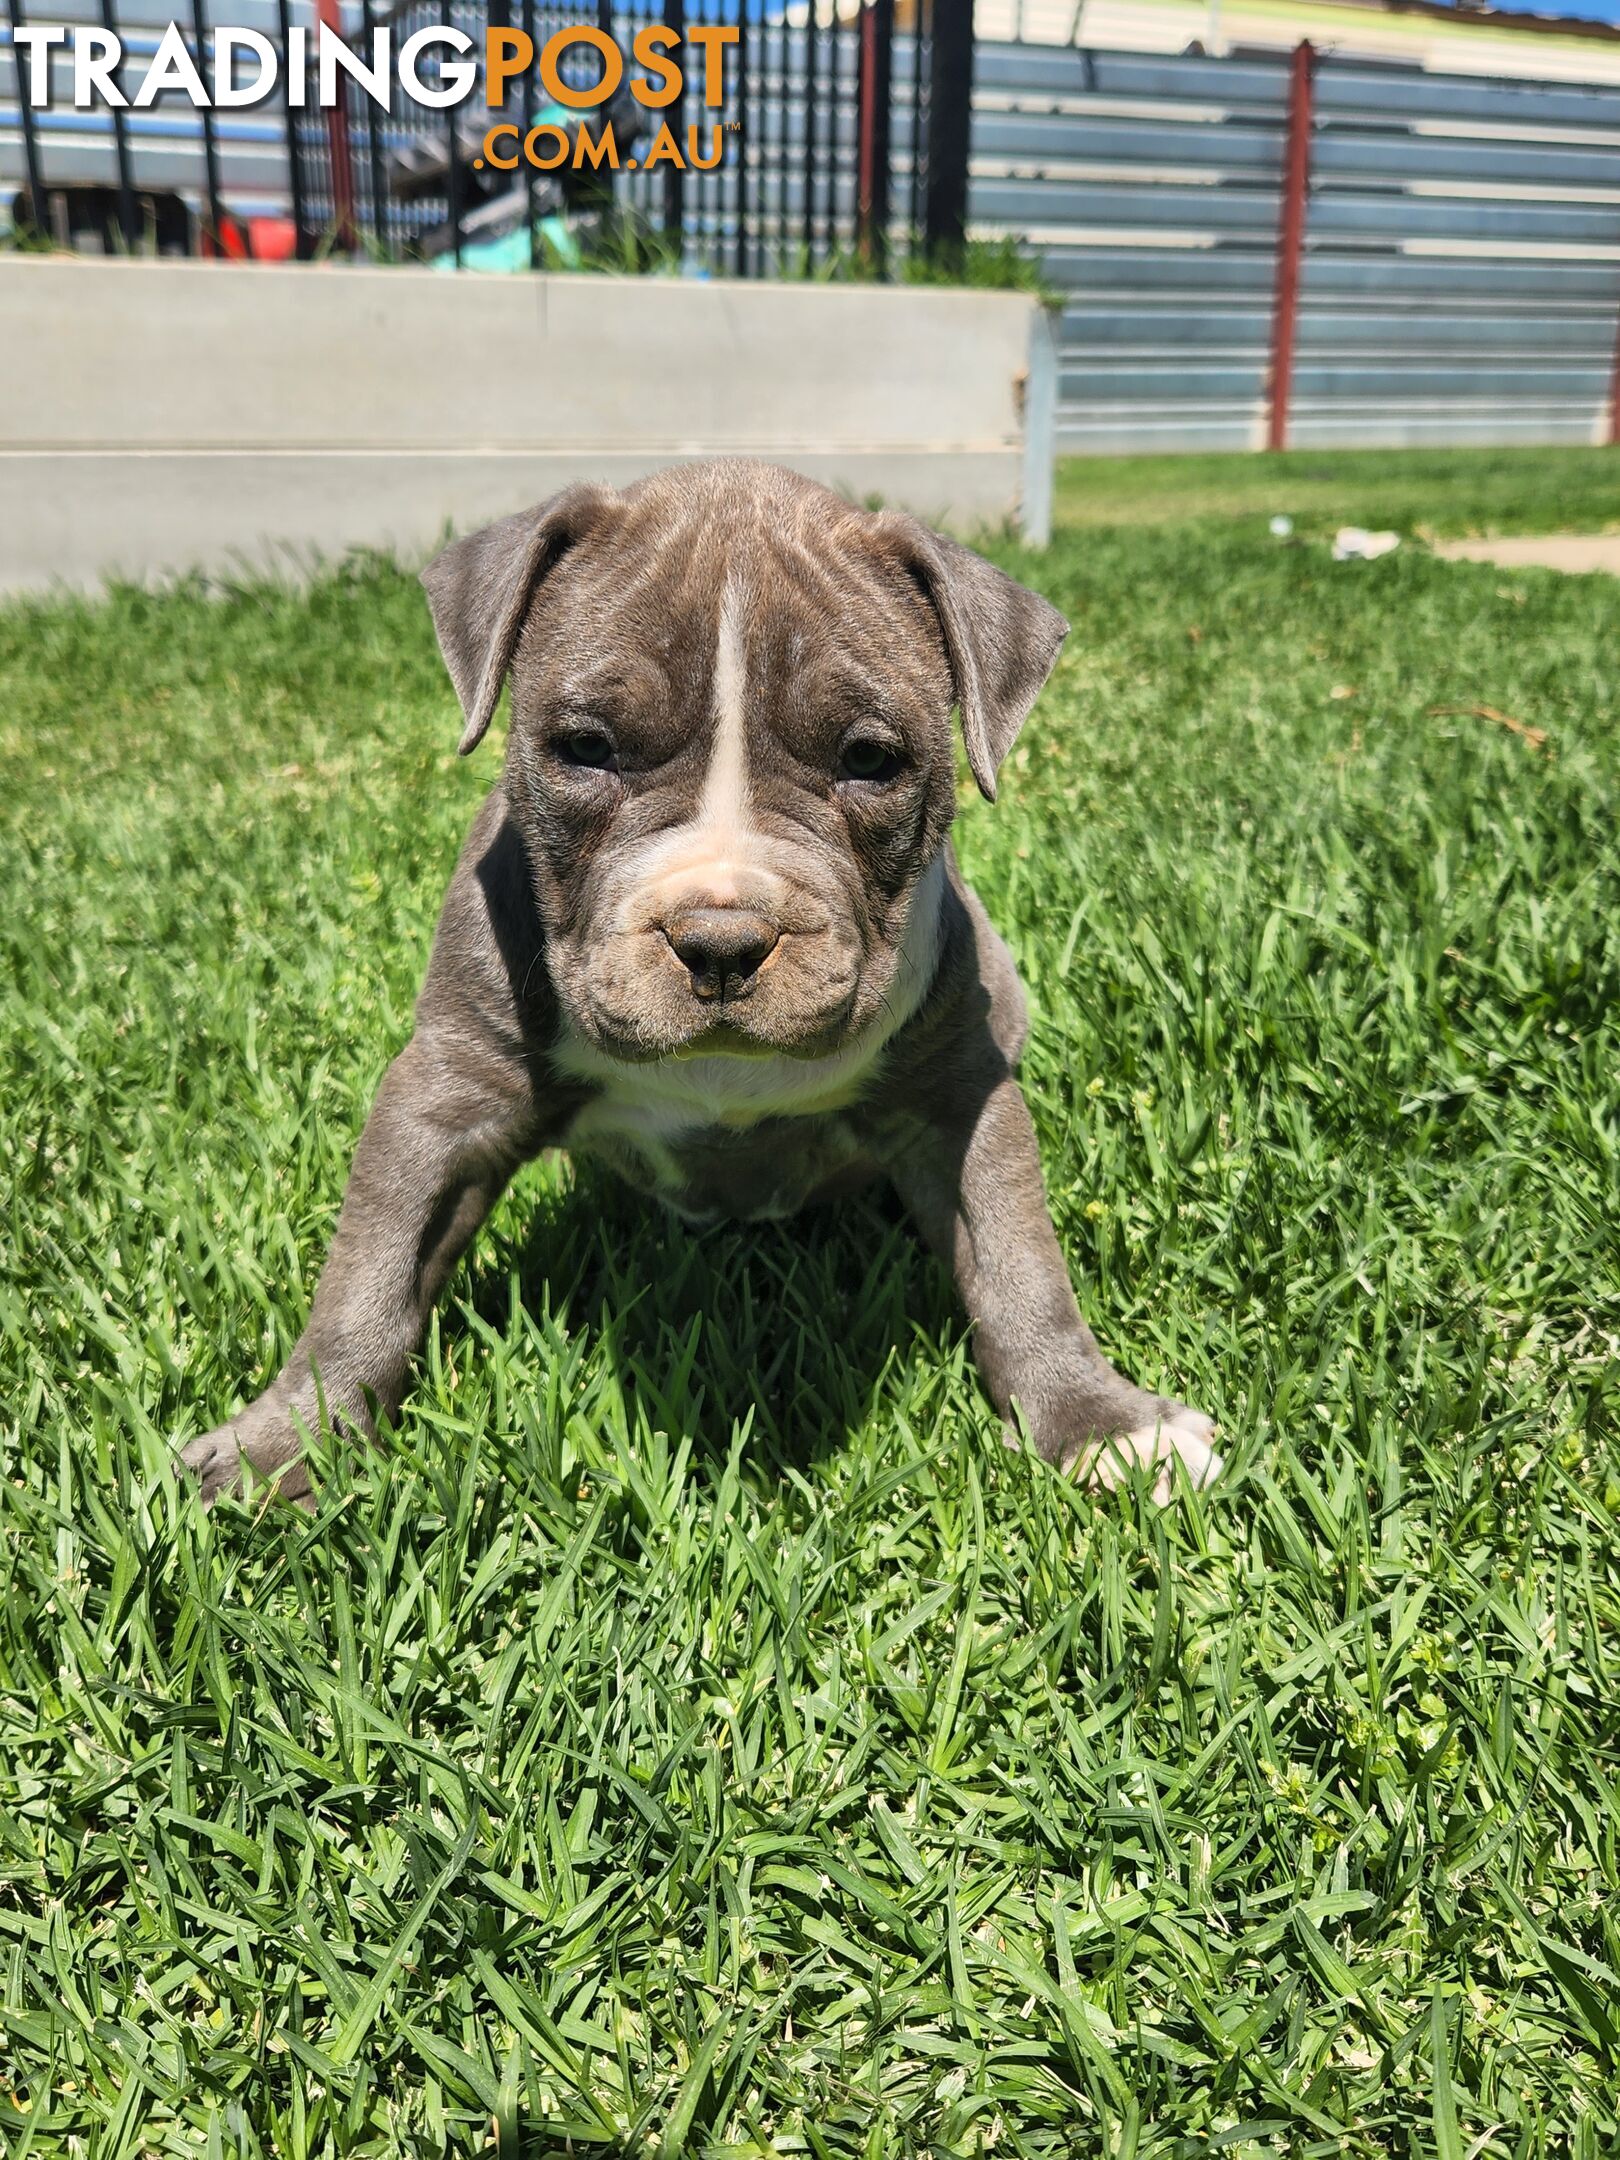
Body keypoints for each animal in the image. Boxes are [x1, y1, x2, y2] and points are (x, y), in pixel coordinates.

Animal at [180, 460, 1218, 1503]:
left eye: (869, 760)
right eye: (586, 748)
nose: (720, 942)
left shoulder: (960, 1099)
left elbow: (1019, 1266)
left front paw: (1099, 1422)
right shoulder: (445, 1092)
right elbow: (371, 1273)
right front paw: (289, 1441)